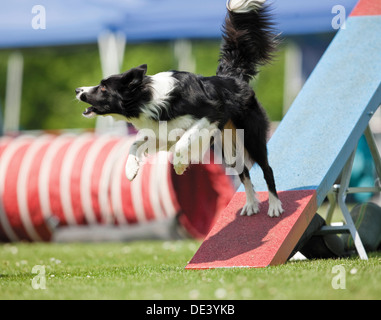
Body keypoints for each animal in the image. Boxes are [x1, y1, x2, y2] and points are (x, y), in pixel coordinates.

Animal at [75, 0, 282, 218]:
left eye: (103, 88)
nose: (78, 90)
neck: (149, 98)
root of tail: (231, 76)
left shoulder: (210, 114)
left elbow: (183, 142)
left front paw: (179, 166)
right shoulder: (162, 133)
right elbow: (134, 143)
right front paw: (131, 170)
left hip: (251, 135)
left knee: (267, 168)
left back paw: (275, 206)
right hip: (226, 145)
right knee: (244, 171)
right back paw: (251, 204)